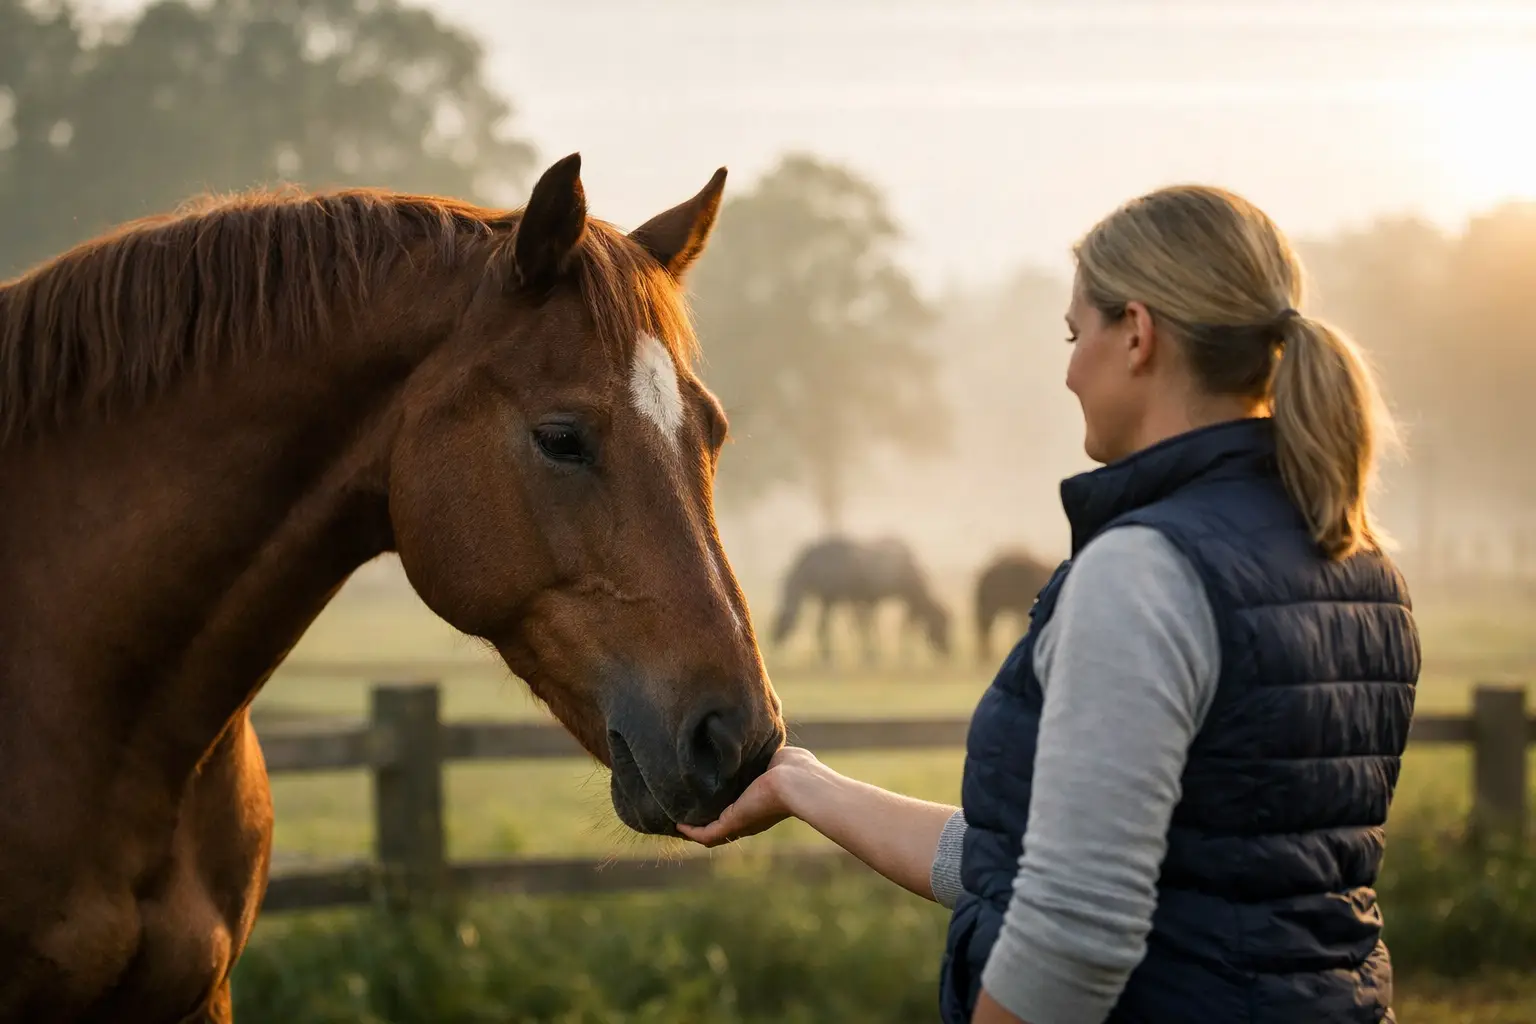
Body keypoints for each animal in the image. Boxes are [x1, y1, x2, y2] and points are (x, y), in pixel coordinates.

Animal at [769, 535, 950, 667]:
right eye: (942, 625)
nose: (948, 651)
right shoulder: (837, 599)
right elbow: (858, 627)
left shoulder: (860, 600)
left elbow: (867, 627)